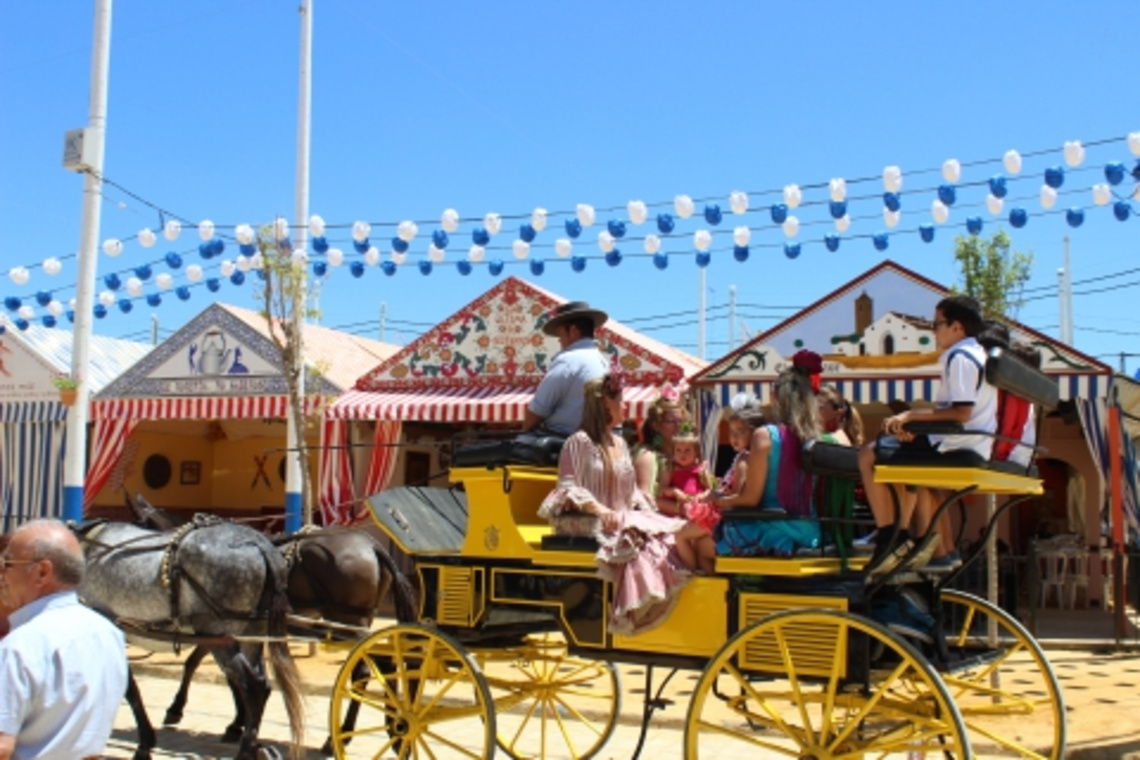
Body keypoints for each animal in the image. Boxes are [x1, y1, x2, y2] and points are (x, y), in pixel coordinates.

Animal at [78, 517, 305, 760]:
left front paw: (145, 744)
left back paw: (245, 749)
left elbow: (129, 688)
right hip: (250, 635)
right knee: (260, 684)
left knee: (253, 687)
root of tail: (259, 544)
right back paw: (254, 746)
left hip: (219, 635)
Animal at [127, 494, 419, 756]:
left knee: (369, 670)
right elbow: (214, 669)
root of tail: (372, 546)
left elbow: (209, 668)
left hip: (346, 622)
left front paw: (180, 710)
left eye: (140, 525)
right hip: (356, 622)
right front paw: (237, 723)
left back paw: (351, 735)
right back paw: (387, 728)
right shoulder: (223, 626)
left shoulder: (217, 624)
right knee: (379, 668)